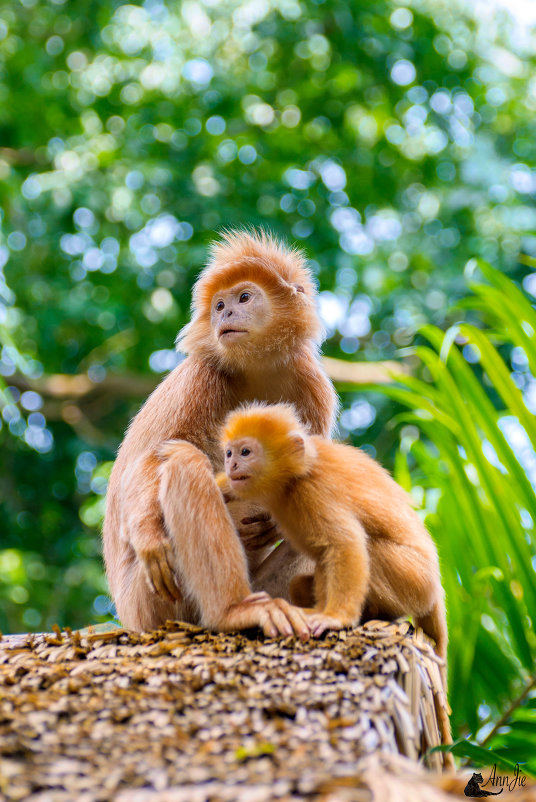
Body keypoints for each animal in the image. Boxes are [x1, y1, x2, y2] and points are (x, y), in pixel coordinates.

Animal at [103, 228, 338, 636]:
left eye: (244, 298)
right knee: (182, 462)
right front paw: (148, 536)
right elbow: (151, 458)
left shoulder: (313, 386)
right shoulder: (201, 375)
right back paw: (234, 611)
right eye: (219, 305)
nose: (225, 313)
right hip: (153, 604)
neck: (257, 369)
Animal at [216, 404, 446, 652]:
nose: (231, 464)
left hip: (414, 580)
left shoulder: (314, 490)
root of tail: (436, 590)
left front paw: (336, 618)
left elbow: (345, 543)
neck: (294, 478)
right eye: (229, 453)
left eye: (245, 452)